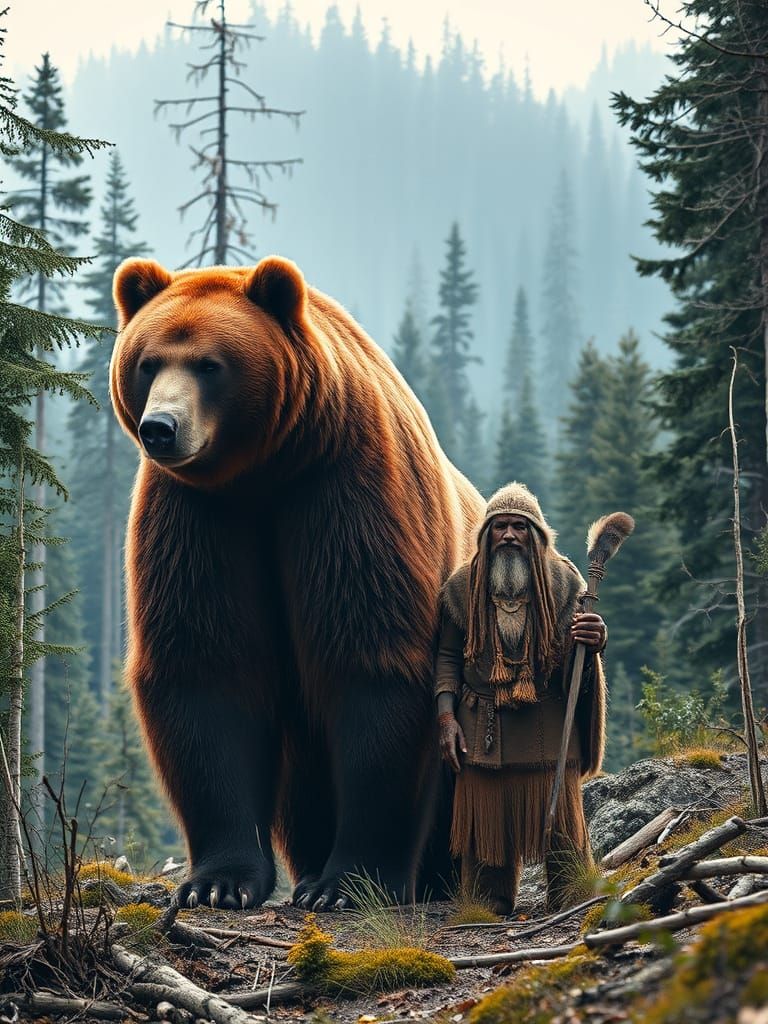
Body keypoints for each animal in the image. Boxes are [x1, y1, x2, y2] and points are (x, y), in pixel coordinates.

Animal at [110, 255, 484, 910]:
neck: (264, 470)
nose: (161, 427)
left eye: (210, 364)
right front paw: (217, 882)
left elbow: (372, 661)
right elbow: (207, 668)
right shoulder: (199, 518)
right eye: (148, 362)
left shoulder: (345, 489)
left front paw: (347, 883)